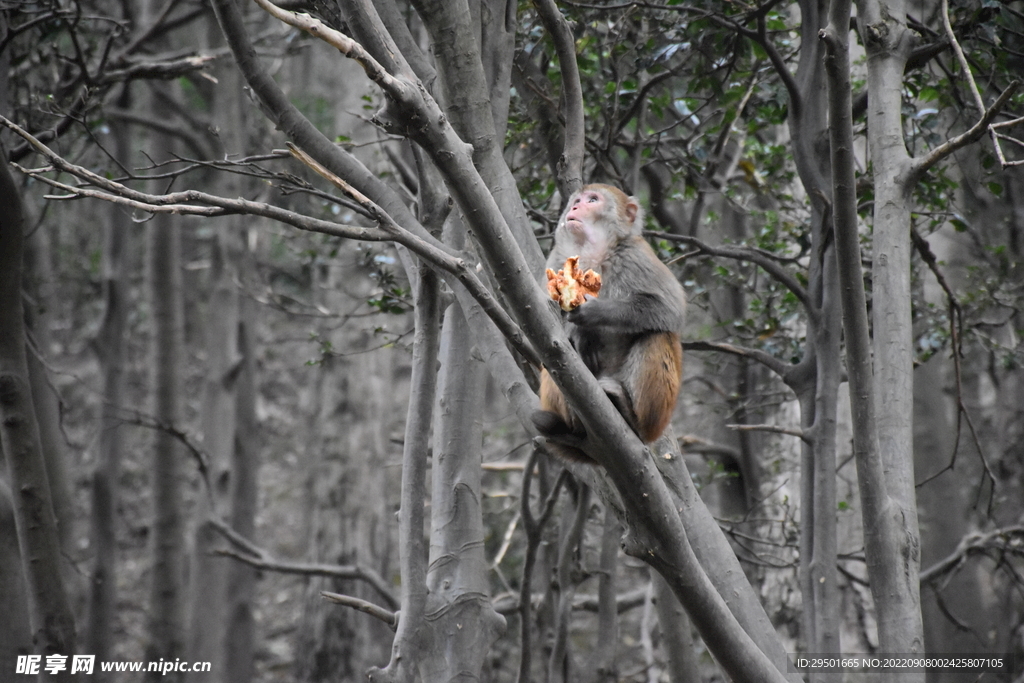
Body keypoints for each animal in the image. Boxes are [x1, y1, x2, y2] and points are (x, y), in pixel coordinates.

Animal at [532, 183, 684, 464]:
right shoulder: (556, 260)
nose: (575, 206)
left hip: (654, 421)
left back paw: (630, 416)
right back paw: (575, 422)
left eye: (593, 200)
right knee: (554, 351)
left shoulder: (635, 254)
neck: (593, 254)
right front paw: (581, 333)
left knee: (658, 333)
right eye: (577, 200)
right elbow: (543, 319)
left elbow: (669, 309)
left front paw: (592, 314)